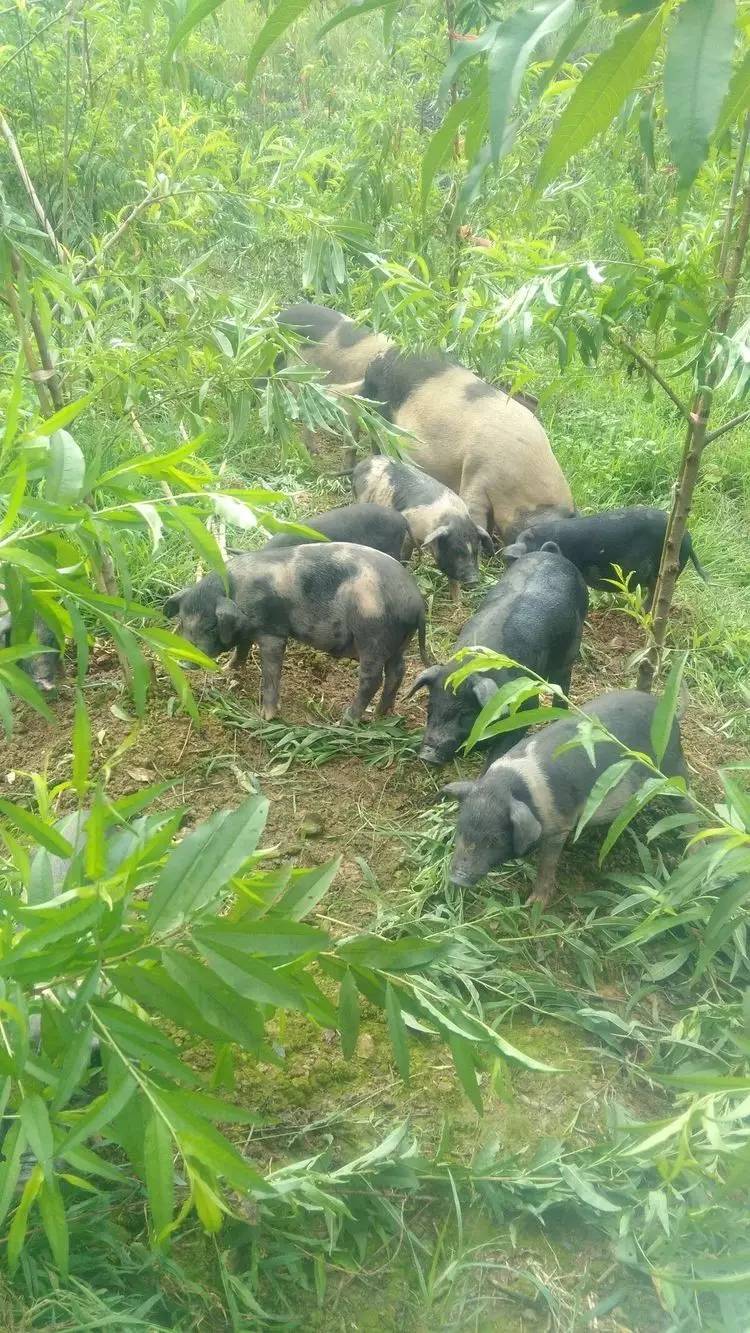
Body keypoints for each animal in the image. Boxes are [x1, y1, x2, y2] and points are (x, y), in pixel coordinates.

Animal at [166, 541, 431, 725]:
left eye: (211, 626)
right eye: (183, 621)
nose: (184, 661)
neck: (238, 593)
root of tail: (416, 601)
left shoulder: (272, 631)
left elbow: (271, 670)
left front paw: (266, 716)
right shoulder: (248, 629)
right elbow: (241, 649)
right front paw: (228, 669)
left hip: (373, 633)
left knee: (372, 678)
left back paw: (345, 720)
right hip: (398, 642)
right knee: (397, 672)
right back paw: (379, 714)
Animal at [407, 546, 588, 767]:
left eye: (465, 713)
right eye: (430, 707)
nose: (427, 755)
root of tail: (551, 553)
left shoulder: (526, 705)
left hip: (570, 650)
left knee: (562, 683)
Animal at [442, 687, 687, 906]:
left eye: (495, 840)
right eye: (460, 829)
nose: (456, 879)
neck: (514, 786)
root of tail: (667, 711)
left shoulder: (559, 825)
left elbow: (548, 863)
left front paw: (534, 904)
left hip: (672, 767)